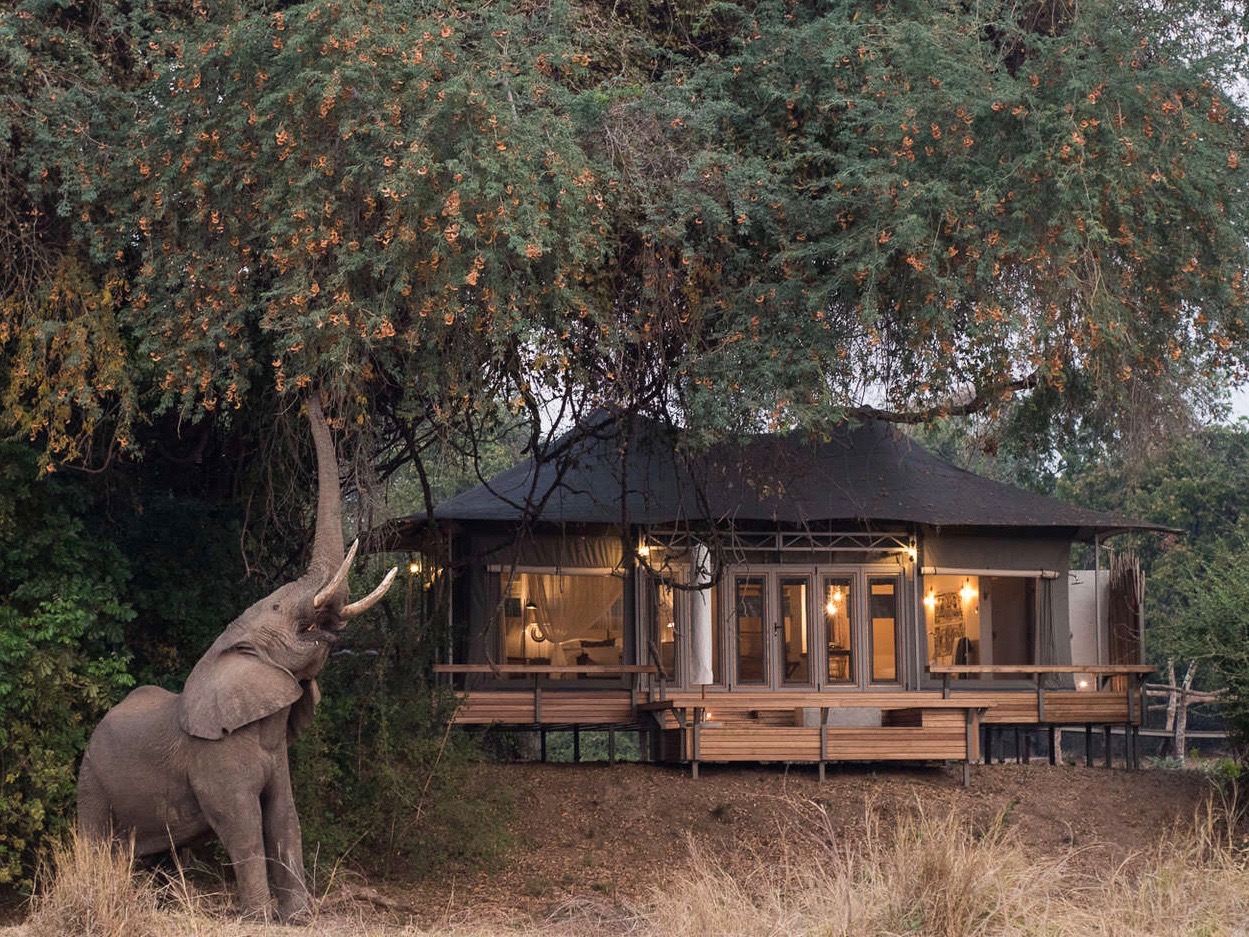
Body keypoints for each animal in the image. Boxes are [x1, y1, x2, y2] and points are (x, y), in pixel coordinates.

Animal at [76, 394, 394, 924]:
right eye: (279, 608)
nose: (305, 394)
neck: (231, 647)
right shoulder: (215, 755)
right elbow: (242, 823)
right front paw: (261, 919)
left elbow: (285, 817)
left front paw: (299, 918)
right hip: (92, 777)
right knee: (94, 842)